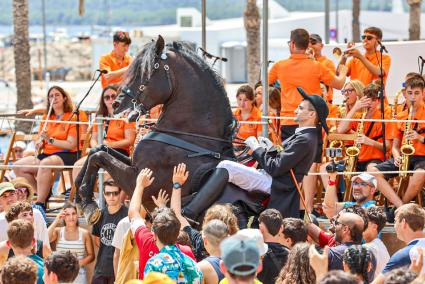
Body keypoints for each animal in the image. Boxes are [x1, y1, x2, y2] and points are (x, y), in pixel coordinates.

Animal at [74, 36, 264, 226]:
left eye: (144, 72)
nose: (116, 104)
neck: (189, 139)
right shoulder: (133, 163)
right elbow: (97, 150)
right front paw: (79, 196)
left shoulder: (138, 180)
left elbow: (100, 157)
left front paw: (87, 201)